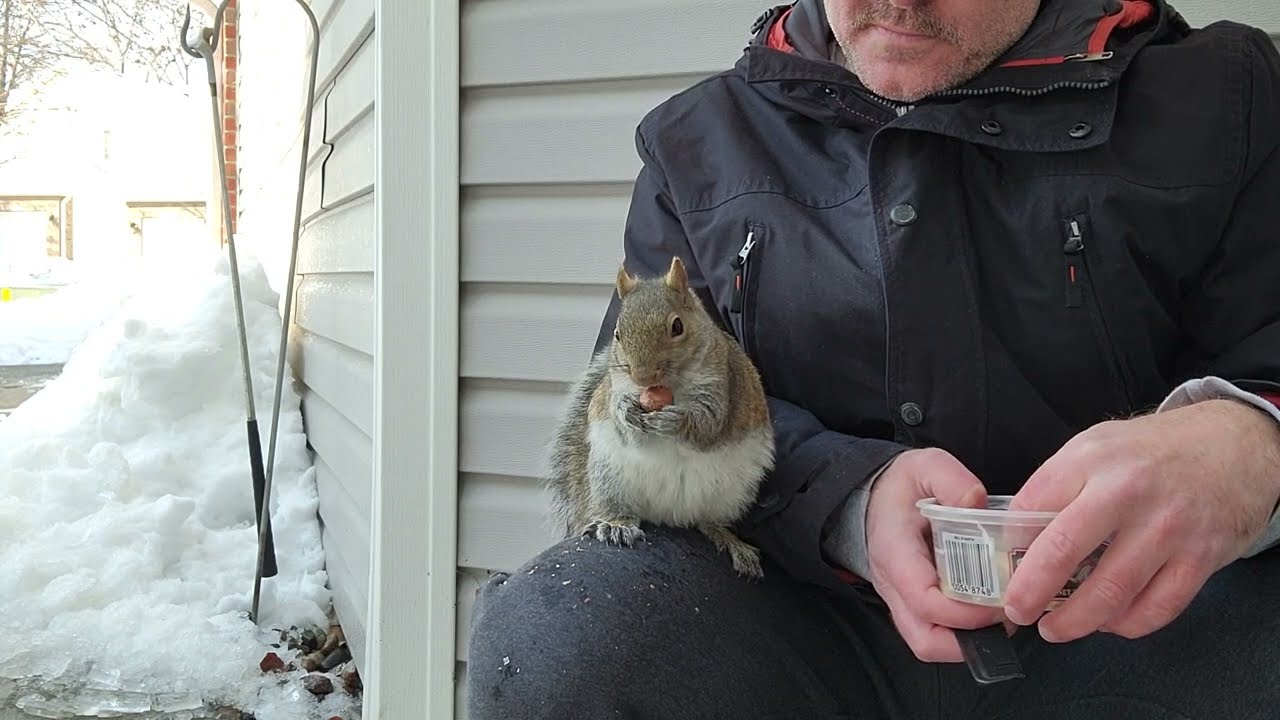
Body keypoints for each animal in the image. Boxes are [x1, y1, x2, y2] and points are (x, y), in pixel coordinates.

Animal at [545, 255, 775, 579]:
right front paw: (626, 410)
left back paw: (731, 541)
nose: (642, 377)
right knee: (619, 508)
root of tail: (670, 515)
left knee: (707, 521)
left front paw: (675, 422)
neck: (671, 386)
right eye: (617, 334)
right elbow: (622, 421)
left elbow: (708, 425)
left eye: (677, 326)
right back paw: (616, 525)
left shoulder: (720, 386)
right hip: (609, 479)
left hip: (730, 494)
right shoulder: (616, 386)